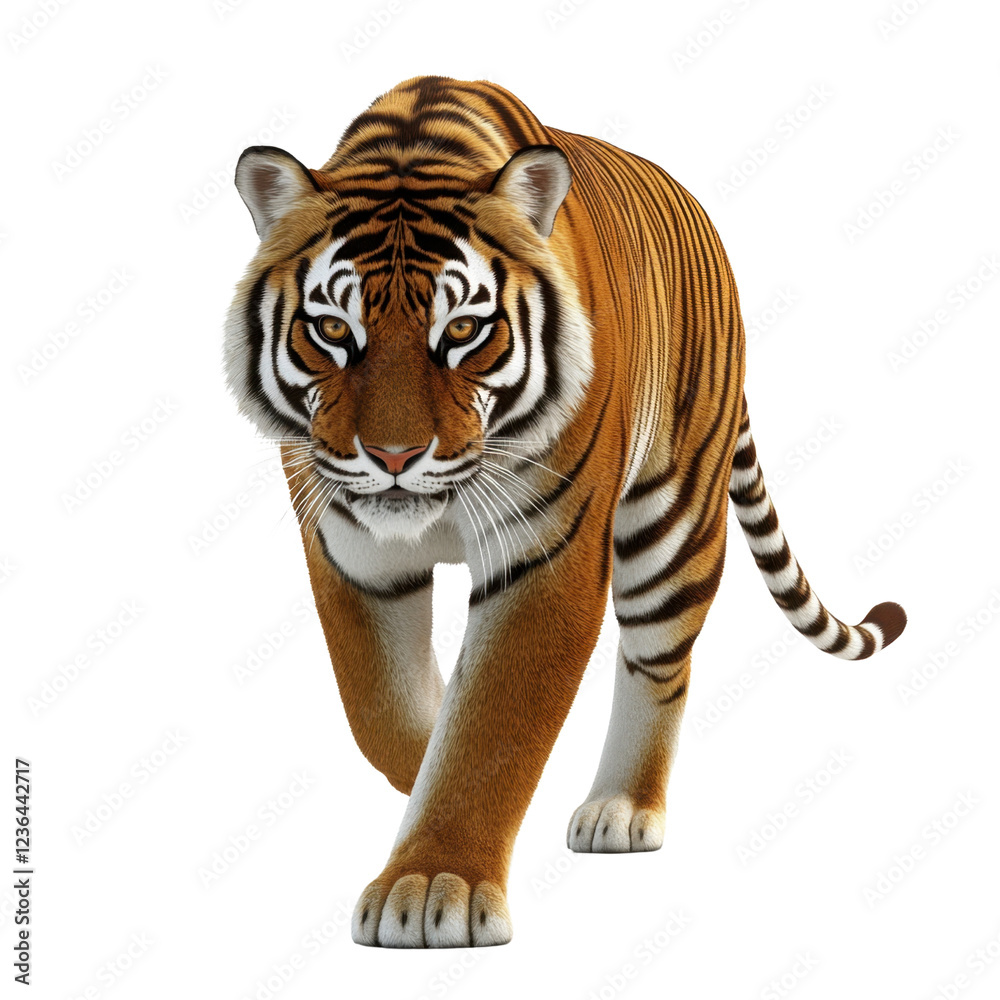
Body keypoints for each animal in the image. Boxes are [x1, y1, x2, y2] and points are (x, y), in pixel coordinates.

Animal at [224, 74, 907, 948]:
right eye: (333, 330)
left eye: (464, 329)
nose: (395, 457)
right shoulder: (353, 555)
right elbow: (384, 708)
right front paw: (427, 777)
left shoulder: (544, 556)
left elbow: (492, 726)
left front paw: (432, 882)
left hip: (673, 524)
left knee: (661, 664)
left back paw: (623, 809)